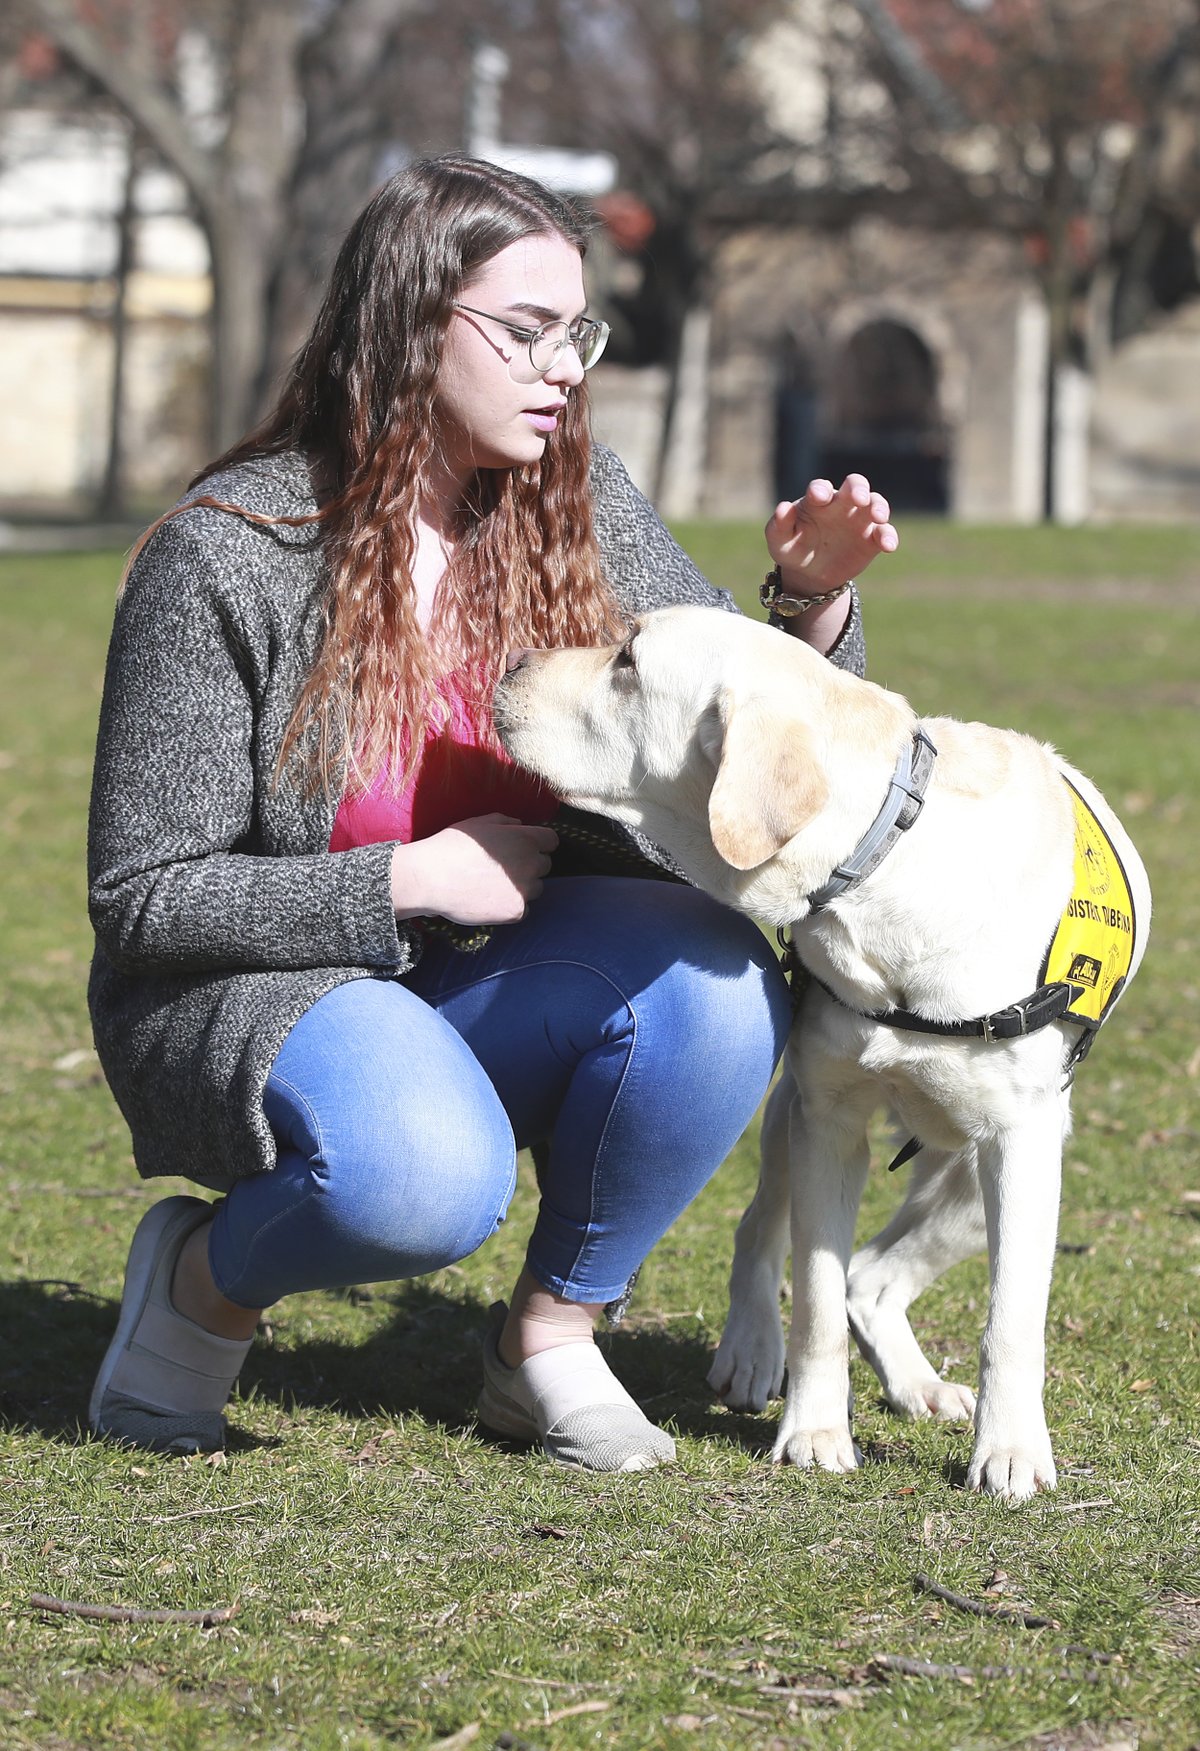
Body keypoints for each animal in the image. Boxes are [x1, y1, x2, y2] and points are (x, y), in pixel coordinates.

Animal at [497, 605, 1149, 1505]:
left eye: (627, 659)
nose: (511, 659)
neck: (885, 869)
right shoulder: (827, 1121)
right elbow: (813, 1297)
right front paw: (812, 1430)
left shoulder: (1021, 1144)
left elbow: (1011, 1321)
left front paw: (1011, 1451)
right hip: (790, 1120)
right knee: (768, 1233)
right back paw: (751, 1348)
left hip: (985, 1171)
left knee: (875, 1279)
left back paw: (919, 1385)